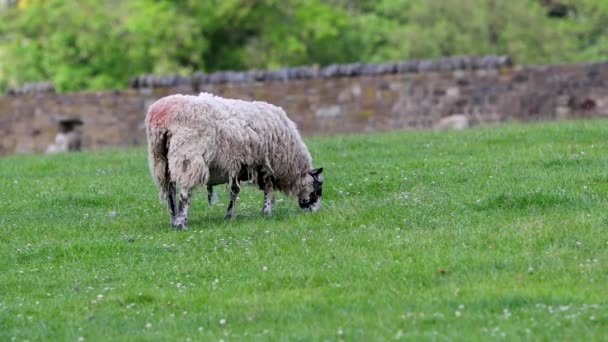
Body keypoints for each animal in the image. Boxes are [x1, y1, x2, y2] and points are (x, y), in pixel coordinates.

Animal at [144, 92, 324, 228]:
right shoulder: (265, 165)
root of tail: (160, 115)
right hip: (187, 158)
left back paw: (173, 219)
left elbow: (234, 191)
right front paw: (266, 211)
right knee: (184, 194)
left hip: (160, 161)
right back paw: (181, 223)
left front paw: (229, 215)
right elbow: (267, 189)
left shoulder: (238, 166)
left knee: (170, 193)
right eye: (319, 186)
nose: (315, 212)